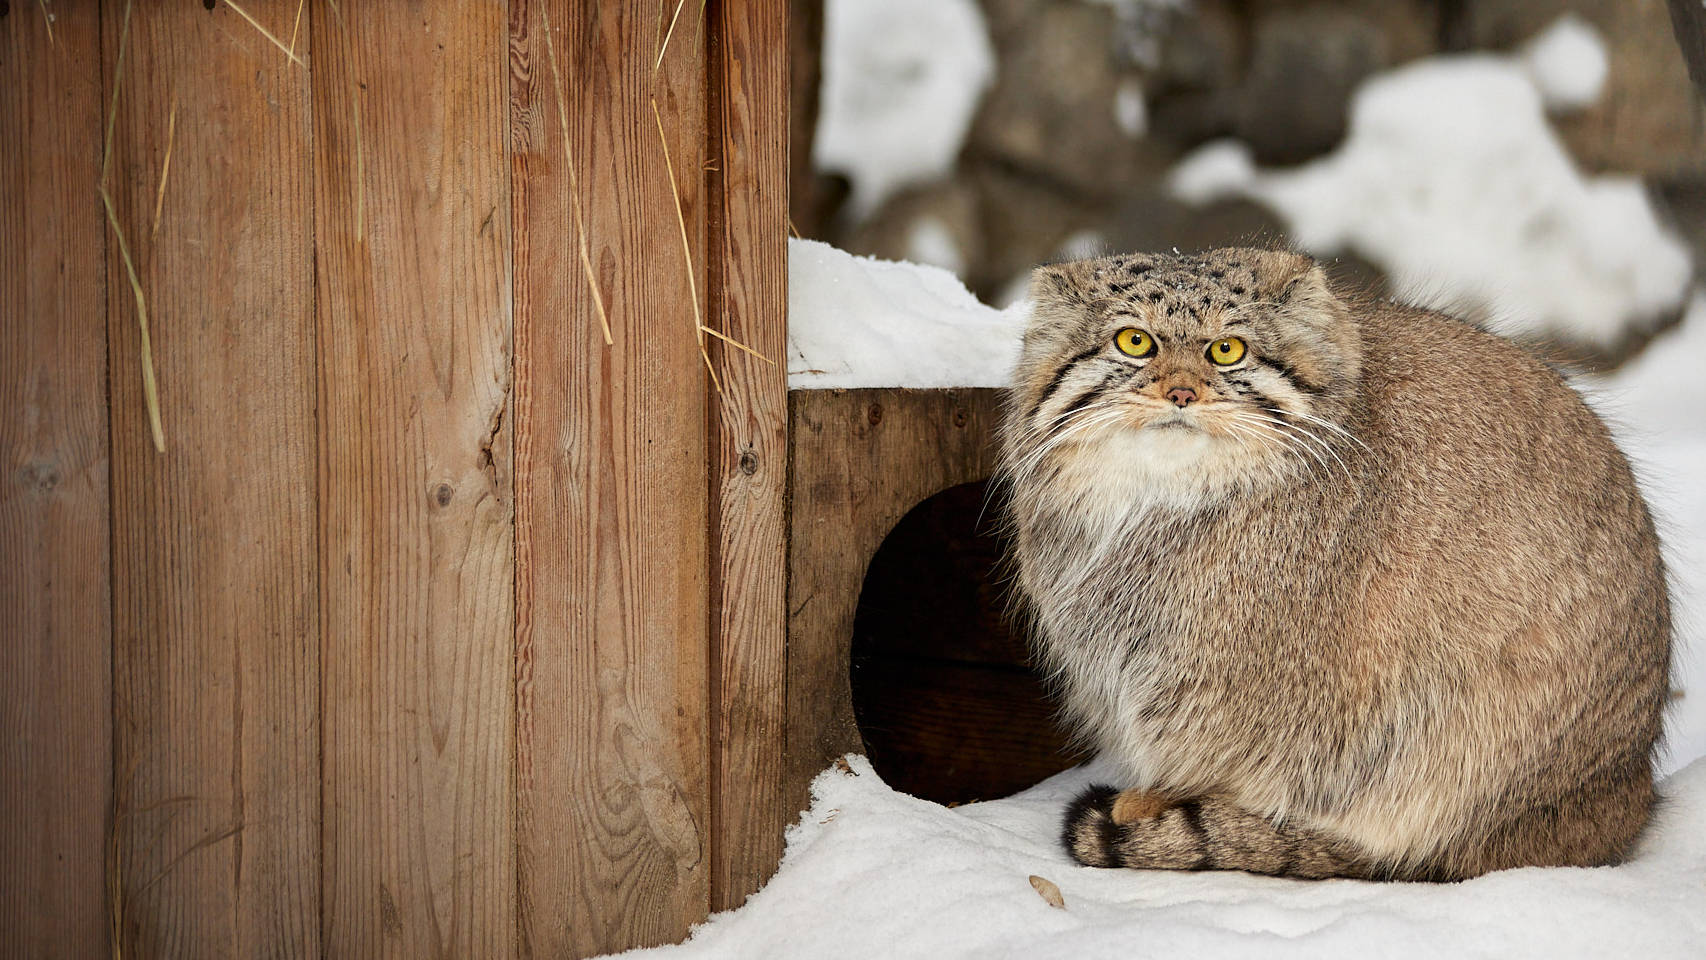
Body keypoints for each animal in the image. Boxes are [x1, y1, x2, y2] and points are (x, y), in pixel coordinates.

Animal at [996, 245, 1665, 879]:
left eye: (1227, 349)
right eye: (1135, 340)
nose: (1182, 392)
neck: (1158, 502)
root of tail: (1624, 798)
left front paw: (1156, 804)